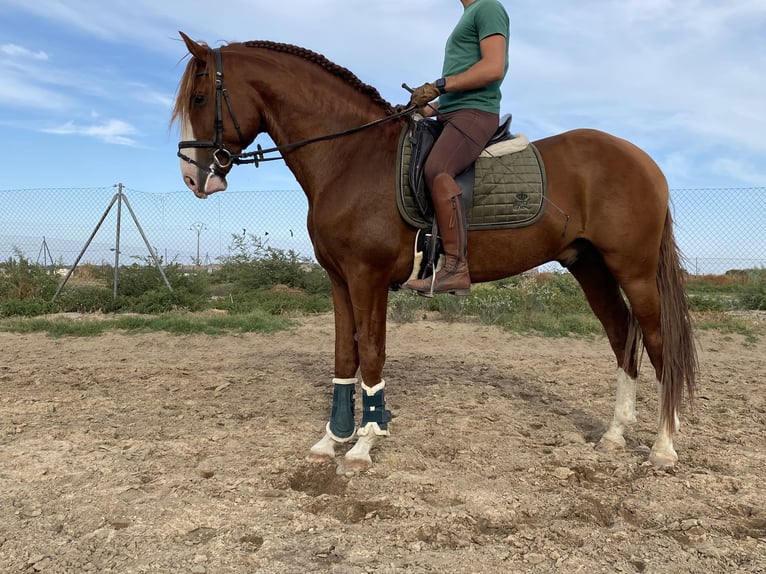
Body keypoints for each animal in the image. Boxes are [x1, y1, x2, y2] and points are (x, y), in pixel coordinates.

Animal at [171, 31, 700, 474]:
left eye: (199, 97)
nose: (193, 177)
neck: (350, 157)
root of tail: (642, 160)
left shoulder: (367, 277)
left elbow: (372, 352)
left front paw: (364, 443)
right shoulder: (339, 279)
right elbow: (344, 355)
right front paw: (330, 440)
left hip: (633, 270)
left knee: (658, 343)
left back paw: (663, 446)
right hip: (589, 266)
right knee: (622, 334)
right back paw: (614, 436)